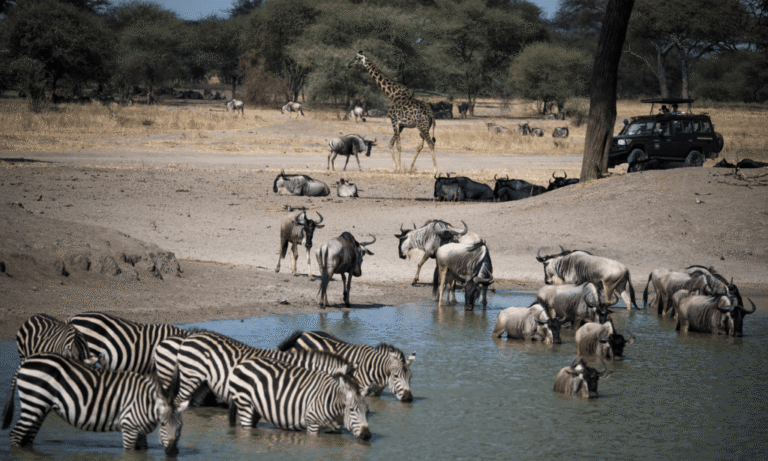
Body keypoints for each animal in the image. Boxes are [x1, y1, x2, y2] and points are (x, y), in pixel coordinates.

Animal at [2, 353, 183, 455]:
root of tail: (26, 361)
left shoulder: (140, 431)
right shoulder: (129, 428)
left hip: (40, 407)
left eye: (180, 426)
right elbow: (130, 454)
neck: (145, 402)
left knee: (27, 438)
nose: (172, 453)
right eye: (163, 424)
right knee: (15, 434)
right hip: (33, 402)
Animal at [230, 357, 371, 440]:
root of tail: (243, 362)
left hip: (256, 408)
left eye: (366, 411)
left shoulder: (336, 429)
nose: (367, 435)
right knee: (246, 428)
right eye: (352, 410)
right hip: (244, 404)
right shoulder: (312, 423)